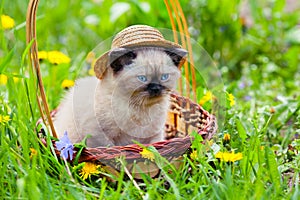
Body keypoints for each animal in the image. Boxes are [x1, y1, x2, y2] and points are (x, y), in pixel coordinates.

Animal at [52, 46, 186, 147]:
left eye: (164, 77)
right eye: (142, 78)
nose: (156, 88)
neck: (141, 107)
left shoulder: (155, 135)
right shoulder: (98, 134)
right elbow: (111, 149)